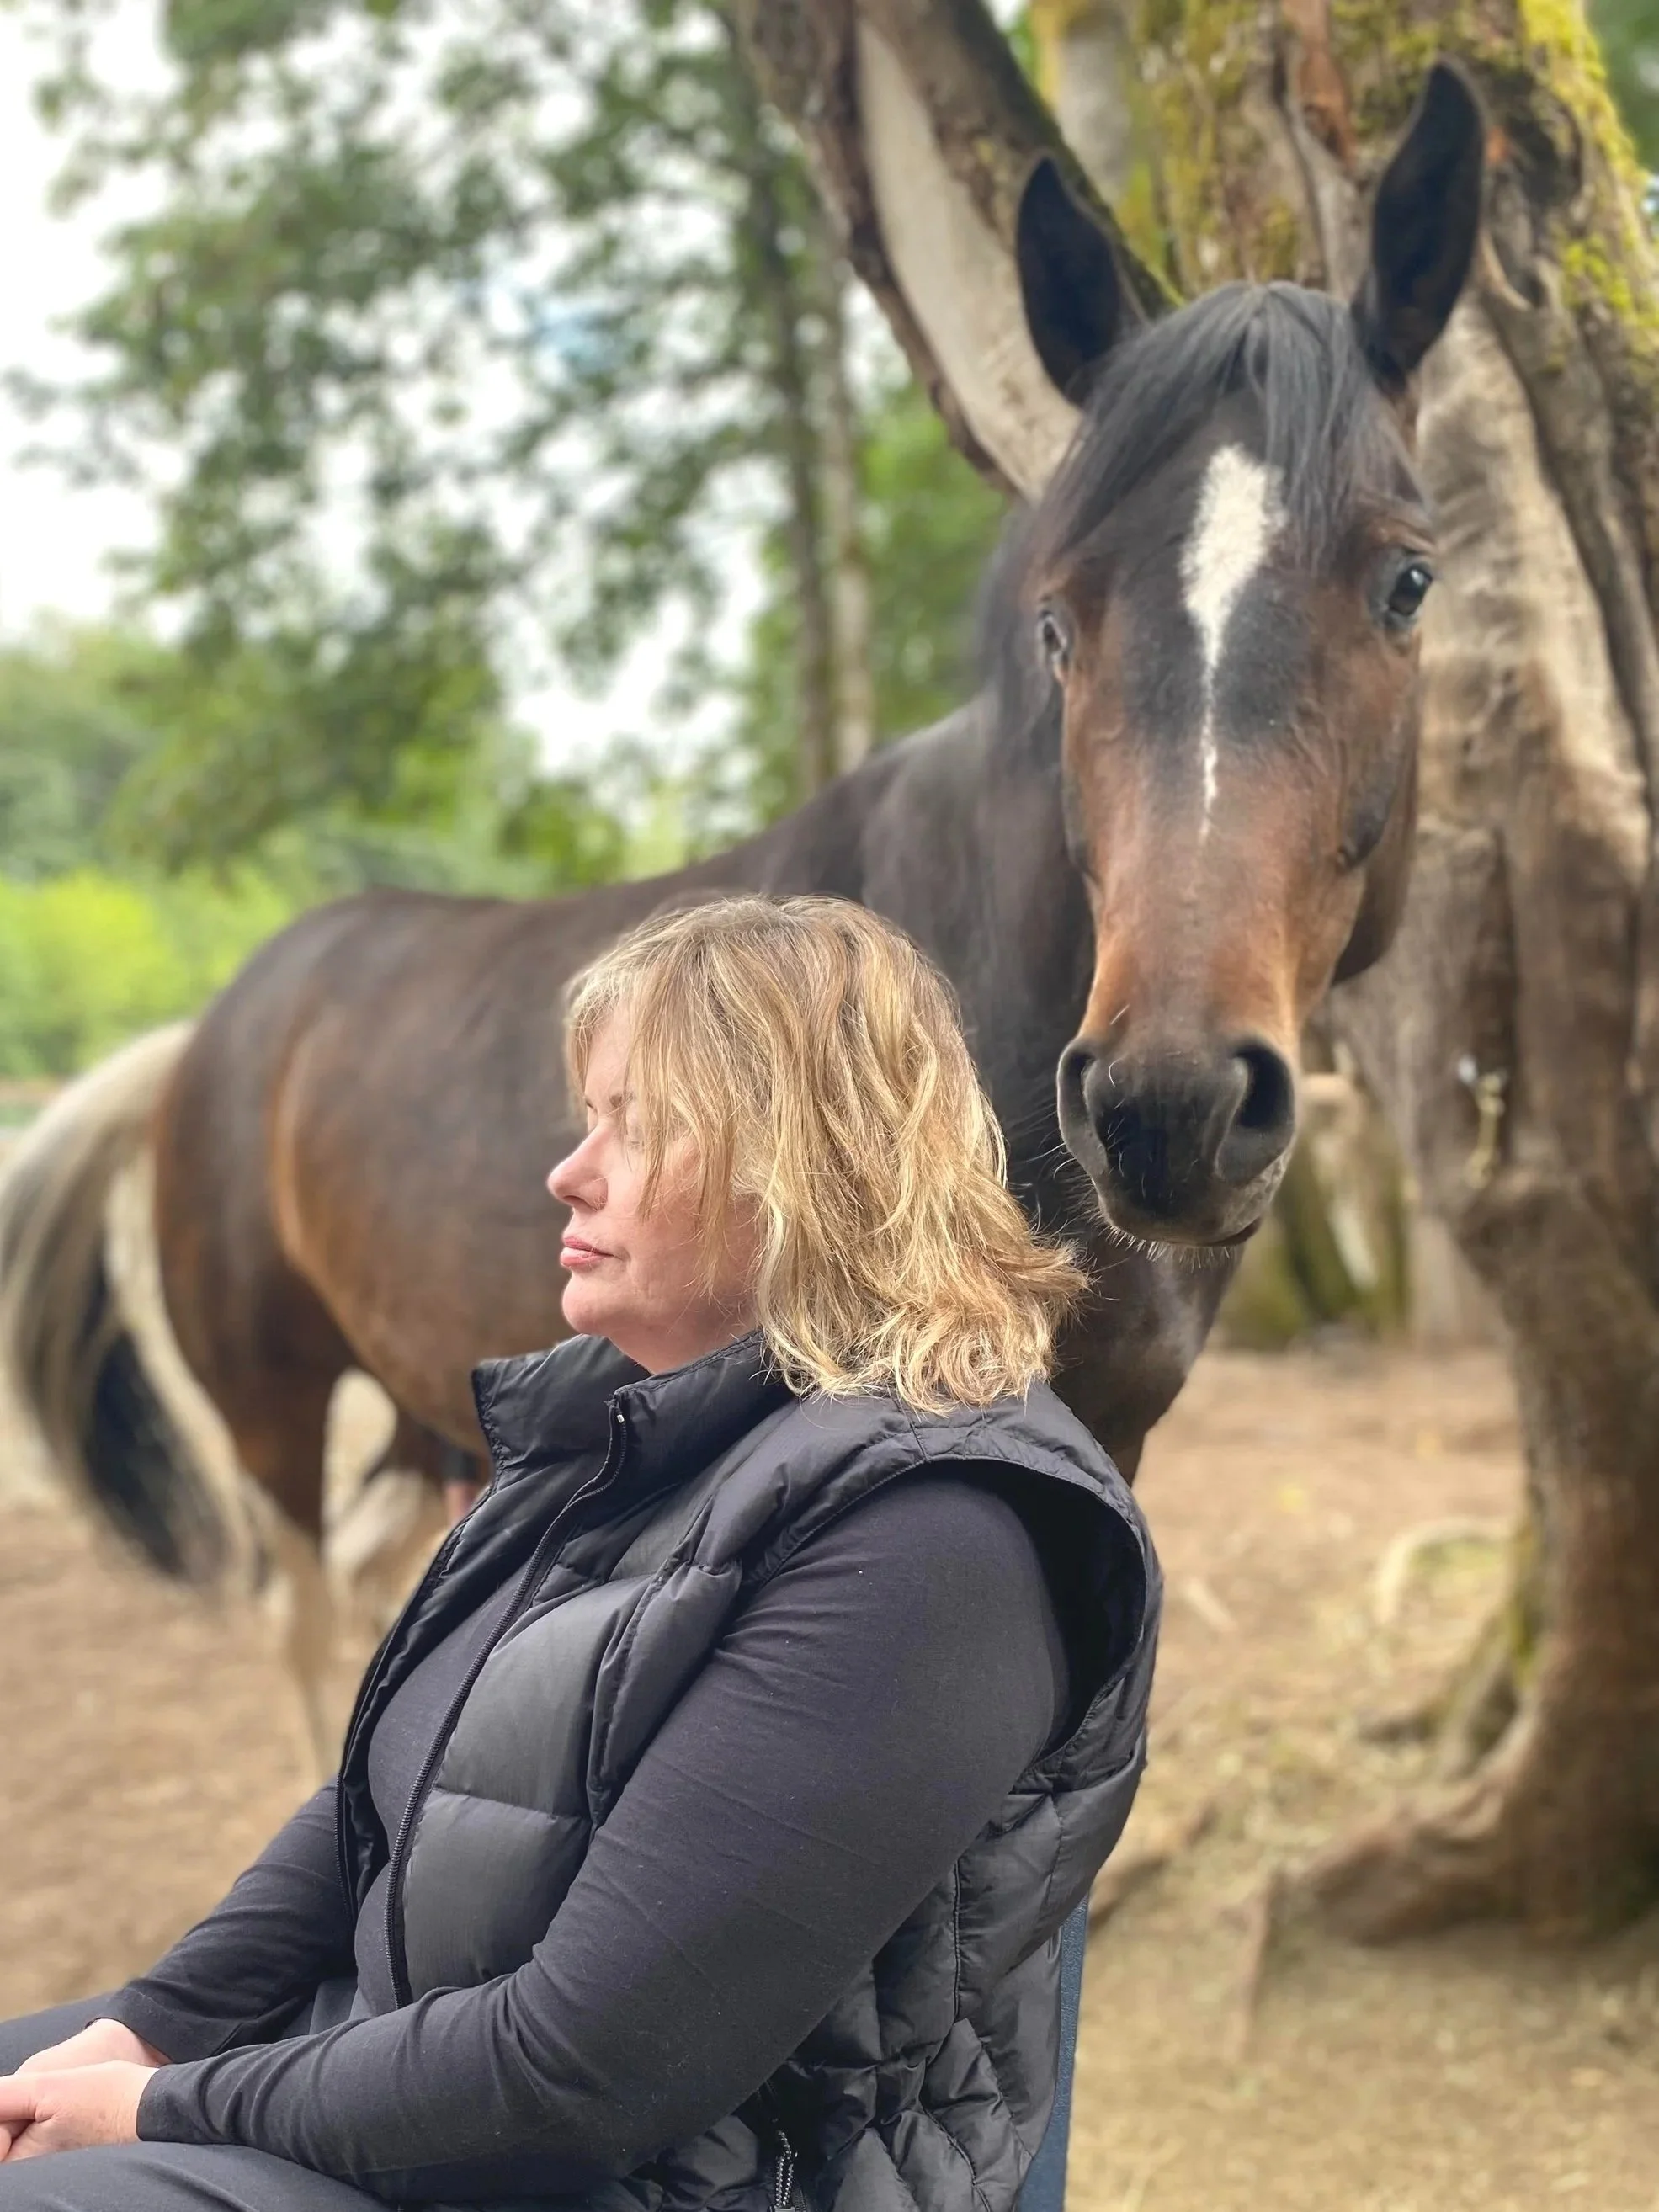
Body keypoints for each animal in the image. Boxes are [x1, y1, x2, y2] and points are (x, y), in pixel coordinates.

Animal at [0, 66, 1484, 1772]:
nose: (1165, 1106)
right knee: (304, 1618)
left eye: (1405, 582)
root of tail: (214, 1030)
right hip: (271, 1405)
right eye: (1059, 619)